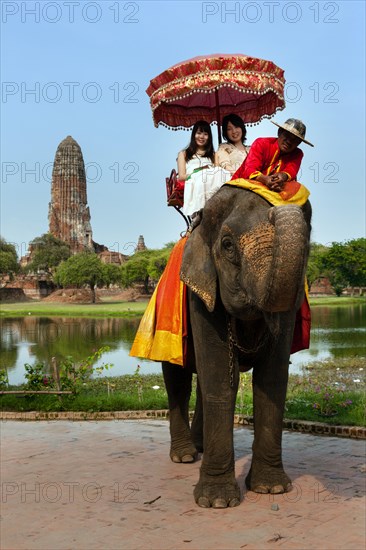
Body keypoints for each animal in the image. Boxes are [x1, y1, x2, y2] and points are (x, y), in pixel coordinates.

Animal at [161, 183, 312, 512]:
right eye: (227, 245)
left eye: (309, 241)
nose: (279, 200)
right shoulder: (200, 295)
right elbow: (220, 381)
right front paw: (216, 502)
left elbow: (271, 380)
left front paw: (271, 489)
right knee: (177, 378)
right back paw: (185, 455)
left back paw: (200, 446)